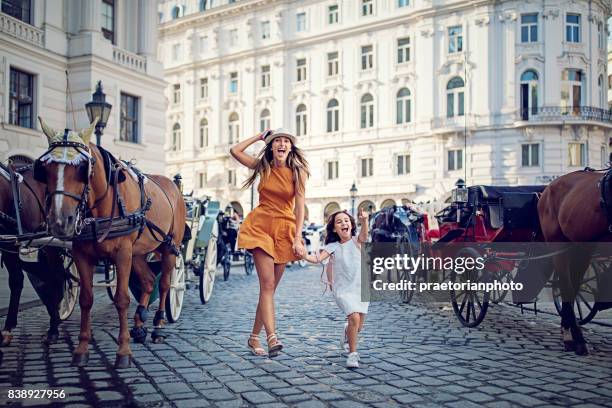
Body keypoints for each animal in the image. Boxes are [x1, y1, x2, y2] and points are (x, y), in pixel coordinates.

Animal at [34, 117, 184, 366]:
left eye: (83, 168)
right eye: (44, 168)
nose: (59, 221)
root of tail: (173, 185)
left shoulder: (122, 254)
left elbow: (122, 299)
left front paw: (123, 351)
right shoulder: (82, 255)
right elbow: (86, 299)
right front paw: (82, 349)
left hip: (168, 247)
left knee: (164, 285)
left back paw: (158, 326)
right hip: (138, 252)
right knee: (148, 281)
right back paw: (139, 325)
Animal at [536, 169, 608, 354]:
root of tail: (547, 189)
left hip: (581, 247)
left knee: (572, 285)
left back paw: (568, 331)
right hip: (558, 244)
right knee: (566, 285)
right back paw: (574, 338)